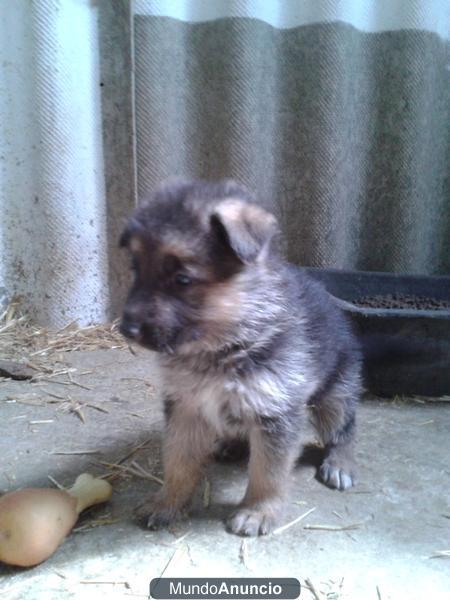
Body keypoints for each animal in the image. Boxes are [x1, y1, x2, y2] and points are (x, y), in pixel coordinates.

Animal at [119, 177, 362, 536]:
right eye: (136, 270)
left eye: (182, 280)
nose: (127, 329)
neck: (224, 343)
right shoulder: (185, 405)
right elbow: (178, 460)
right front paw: (167, 502)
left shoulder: (276, 410)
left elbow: (267, 471)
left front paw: (257, 511)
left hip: (335, 393)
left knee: (343, 428)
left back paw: (340, 462)